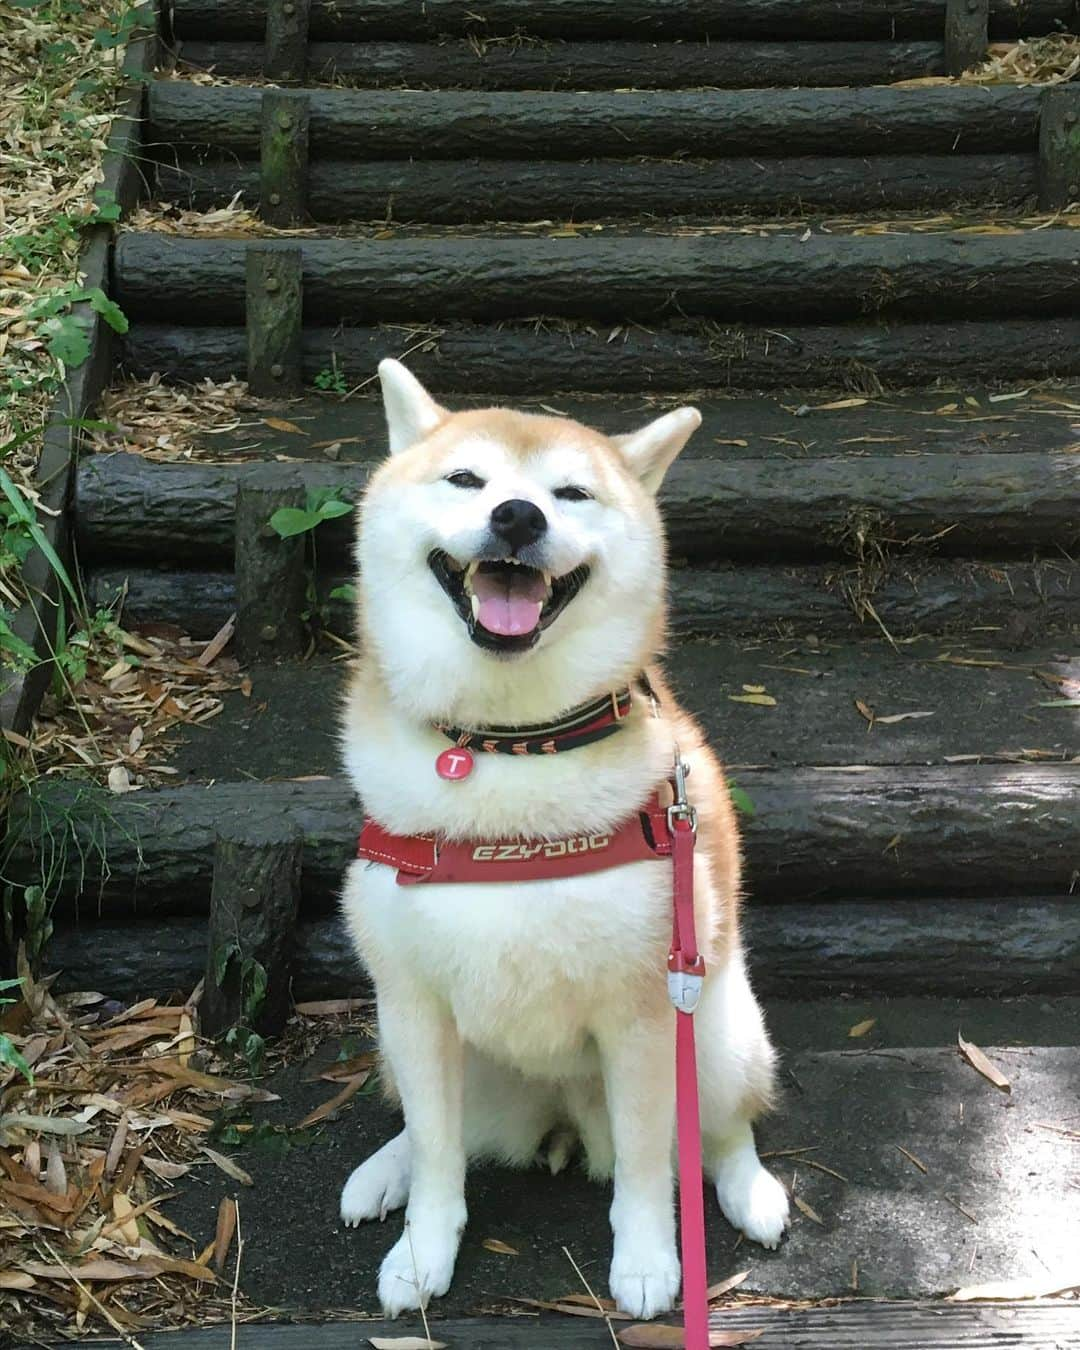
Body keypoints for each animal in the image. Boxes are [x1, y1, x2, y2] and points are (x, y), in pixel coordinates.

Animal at [337, 361, 783, 1317]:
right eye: (467, 479)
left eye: (571, 493)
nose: (518, 517)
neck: (509, 750)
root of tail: (560, 1120)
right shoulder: (414, 1003)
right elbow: (438, 1156)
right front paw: (420, 1251)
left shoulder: (645, 1017)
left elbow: (651, 1169)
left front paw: (649, 1261)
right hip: (406, 1043)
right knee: (434, 1130)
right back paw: (382, 1171)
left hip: (716, 1032)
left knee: (721, 1129)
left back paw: (750, 1188)